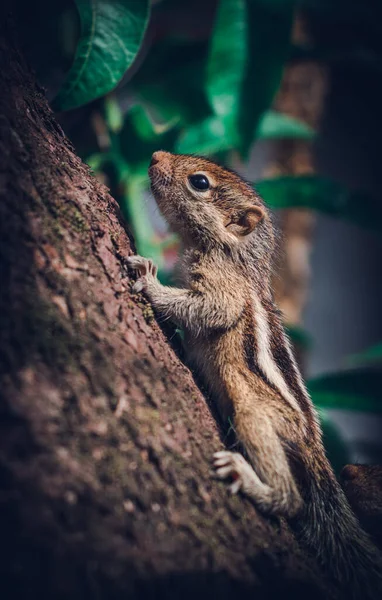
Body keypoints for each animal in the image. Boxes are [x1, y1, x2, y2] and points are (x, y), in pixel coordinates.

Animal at [127, 150, 382, 596]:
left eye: (199, 182)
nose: (157, 155)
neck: (233, 252)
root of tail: (315, 449)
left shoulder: (222, 286)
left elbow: (210, 309)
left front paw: (149, 279)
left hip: (255, 412)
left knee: (292, 499)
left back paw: (249, 480)